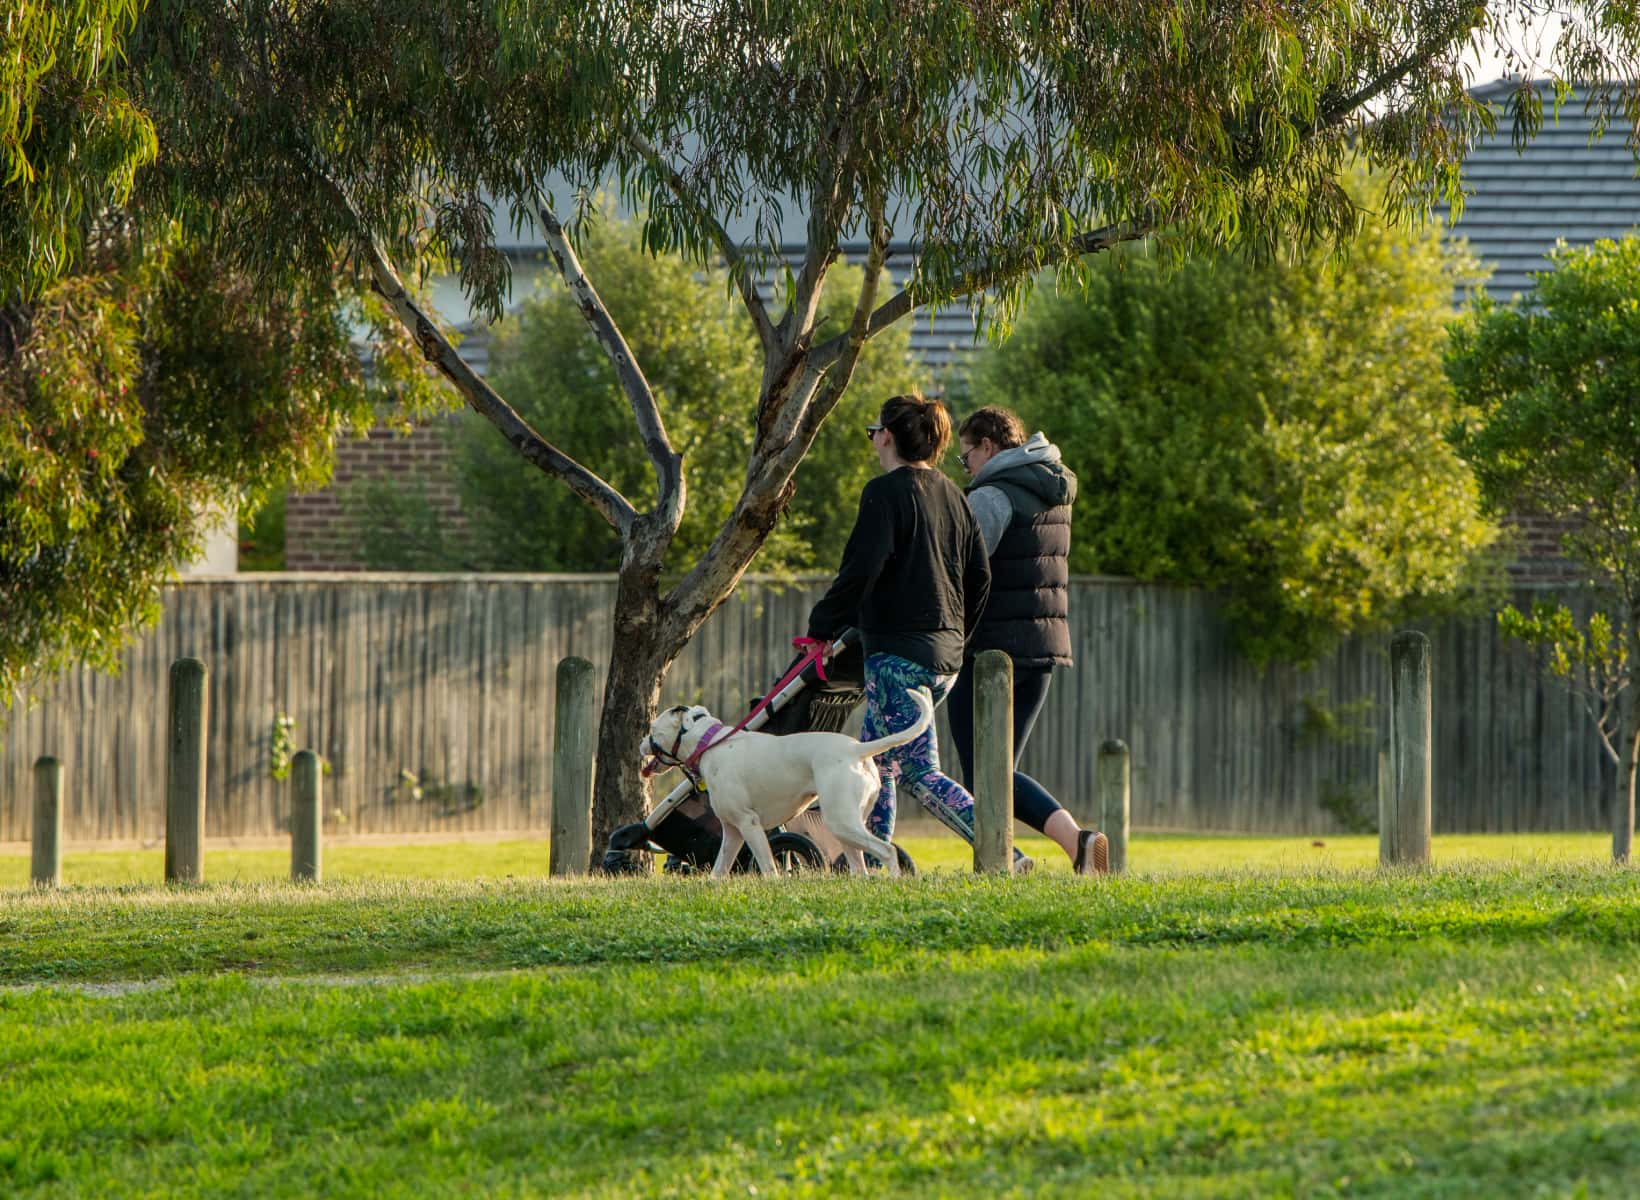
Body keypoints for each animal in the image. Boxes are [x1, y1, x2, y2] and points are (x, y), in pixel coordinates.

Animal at [636, 688, 931, 878]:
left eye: (653, 730)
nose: (640, 744)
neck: (710, 743)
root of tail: (856, 749)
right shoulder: (732, 833)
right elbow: (718, 871)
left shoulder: (749, 825)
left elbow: (769, 868)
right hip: (846, 828)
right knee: (860, 867)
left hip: (841, 822)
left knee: (887, 852)